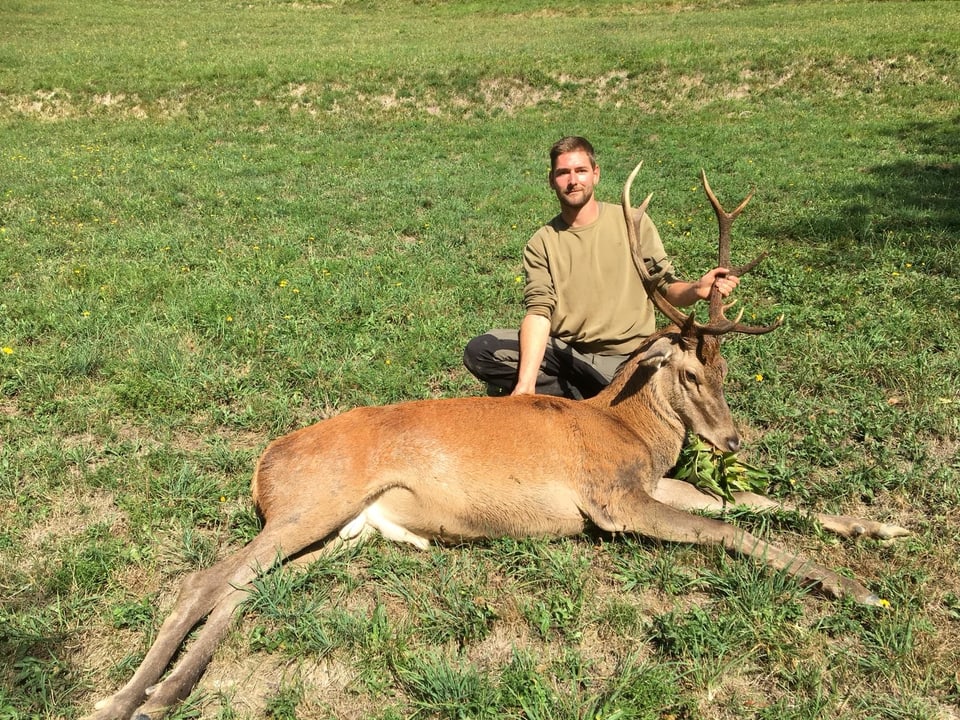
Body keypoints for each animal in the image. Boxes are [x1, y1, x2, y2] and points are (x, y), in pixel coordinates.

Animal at [84, 165, 908, 720]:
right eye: (689, 372)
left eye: (728, 368)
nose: (732, 439)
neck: (627, 428)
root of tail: (262, 465)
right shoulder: (611, 500)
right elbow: (730, 530)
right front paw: (859, 589)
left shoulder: (652, 482)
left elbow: (756, 505)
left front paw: (884, 528)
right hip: (314, 498)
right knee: (203, 580)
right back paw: (123, 699)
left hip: (343, 527)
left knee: (245, 589)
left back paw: (166, 695)